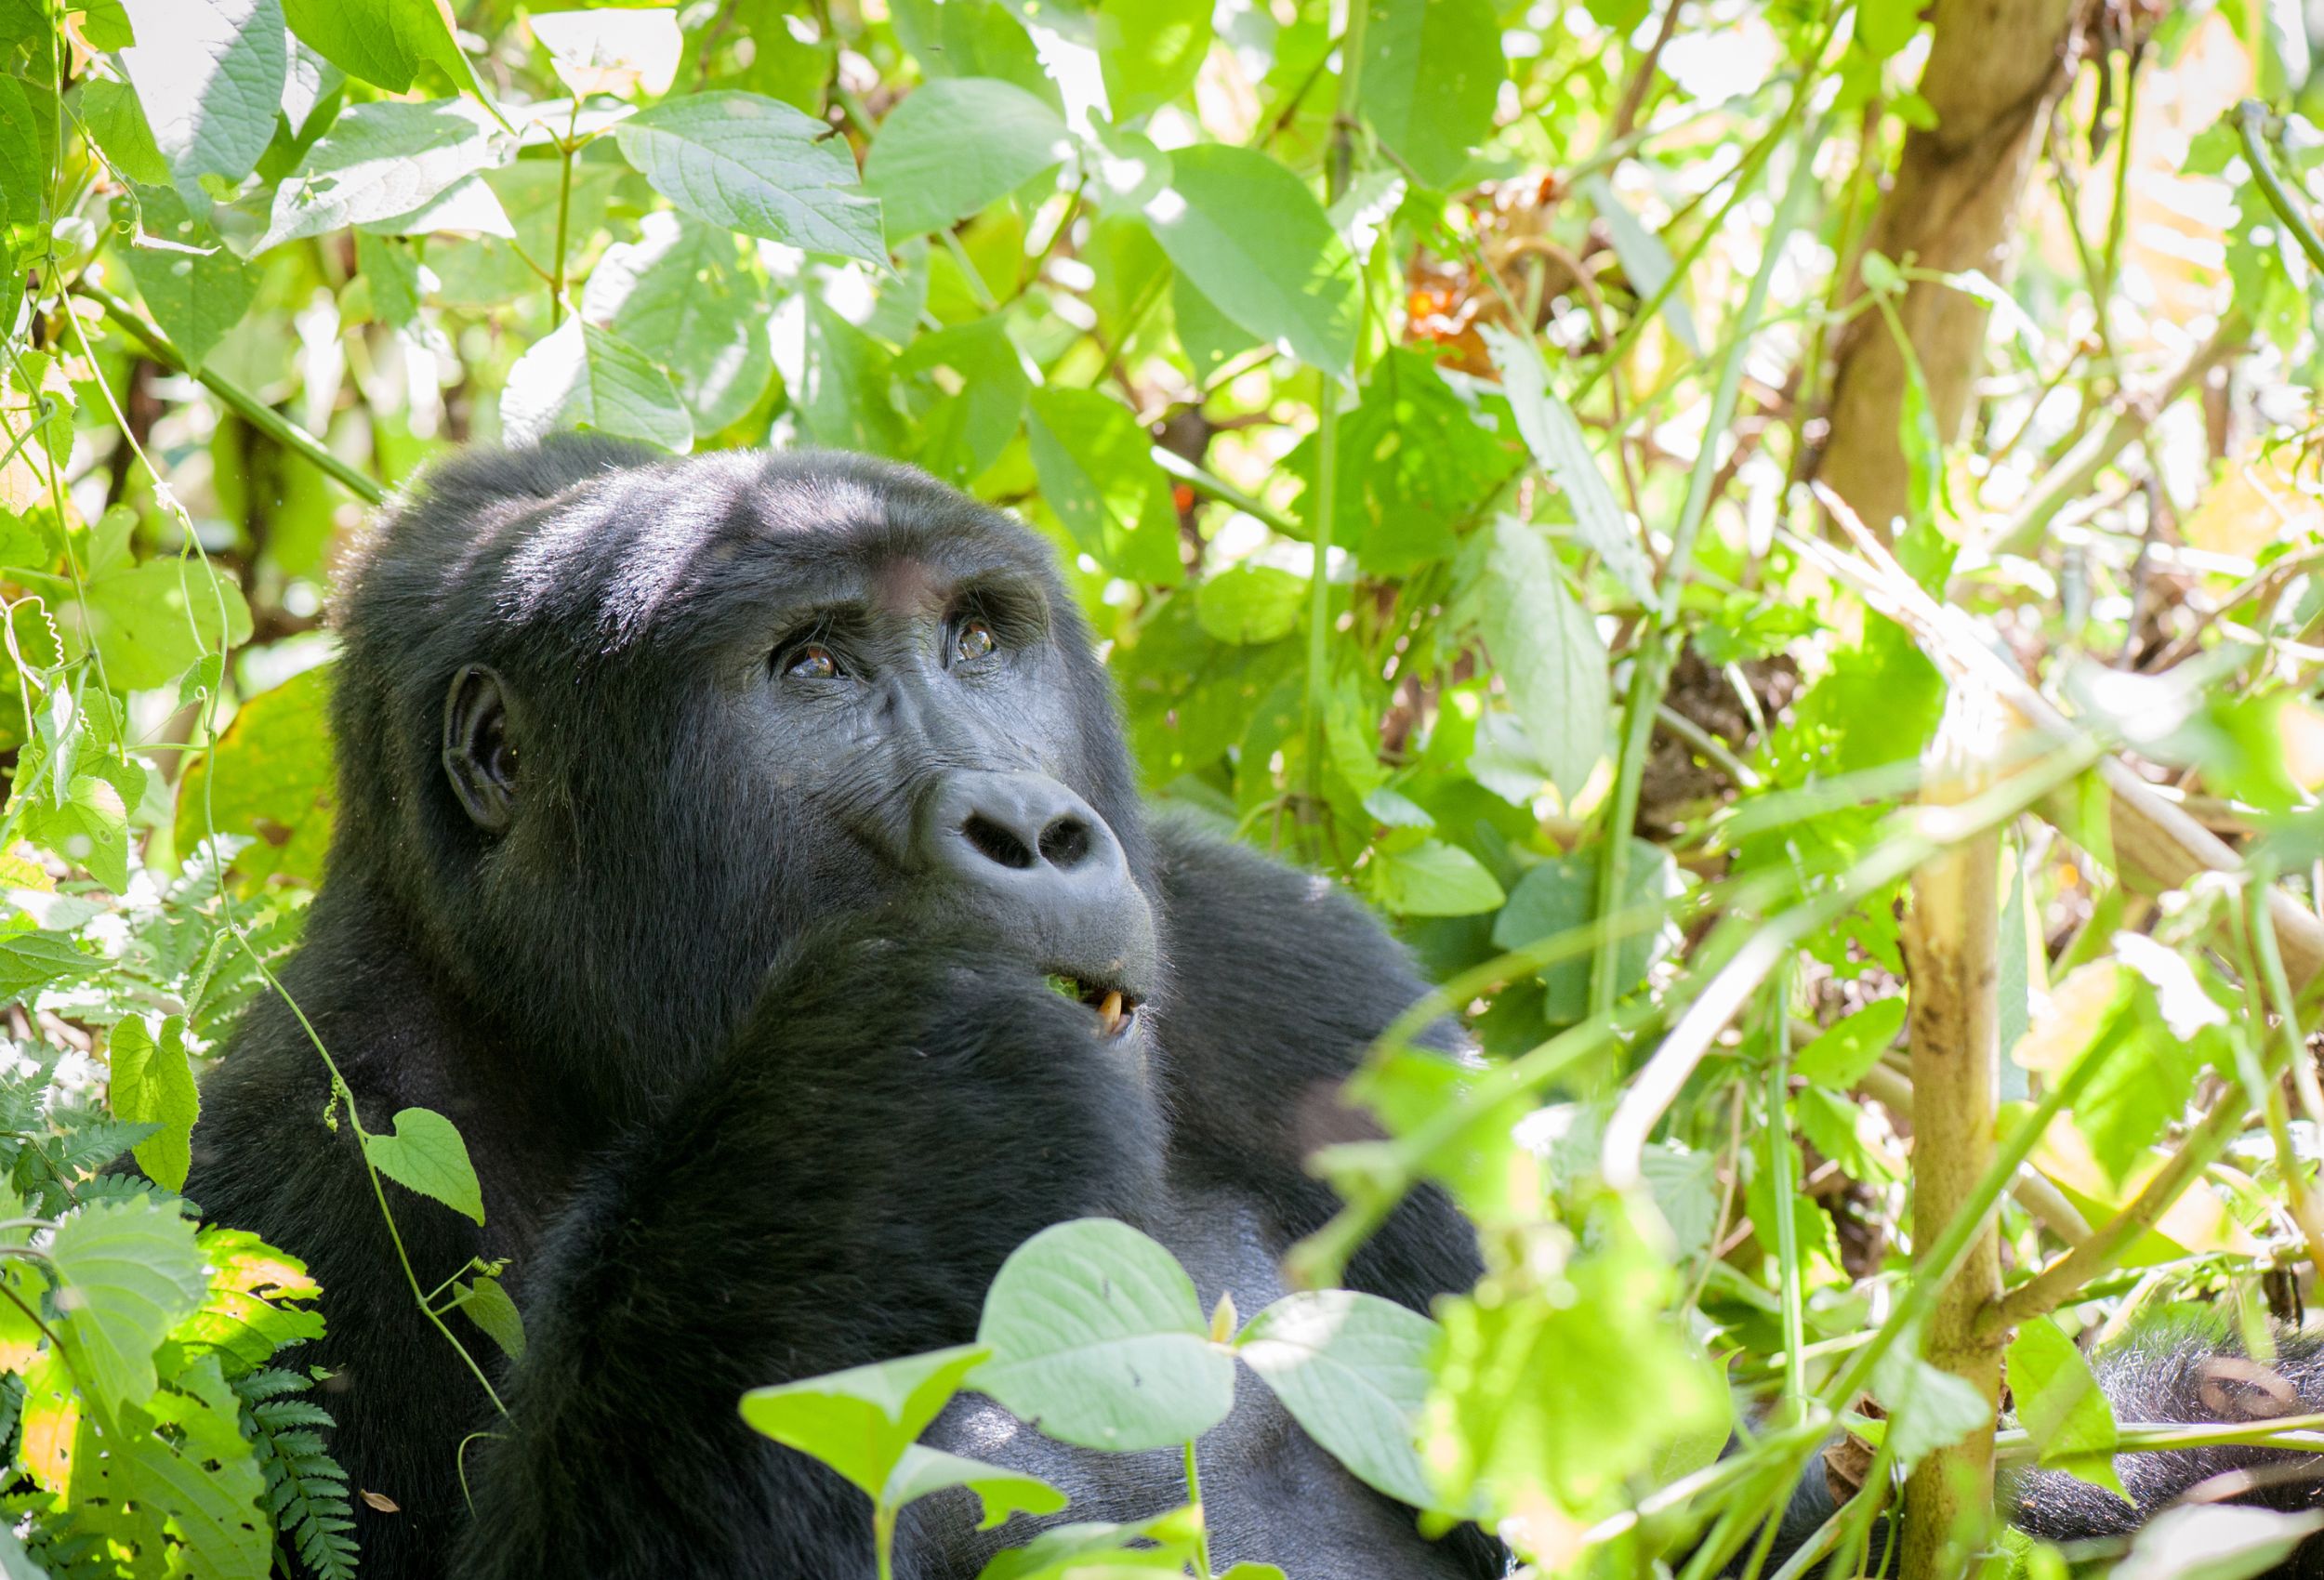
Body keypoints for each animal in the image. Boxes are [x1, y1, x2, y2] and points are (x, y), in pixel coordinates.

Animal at [181, 434, 2324, 1580]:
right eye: (809, 668)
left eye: (979, 633)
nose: (1031, 825)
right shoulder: (318, 1155)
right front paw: (880, 1103)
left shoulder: (1302, 980)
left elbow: (1701, 1498)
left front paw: (2218, 1440)